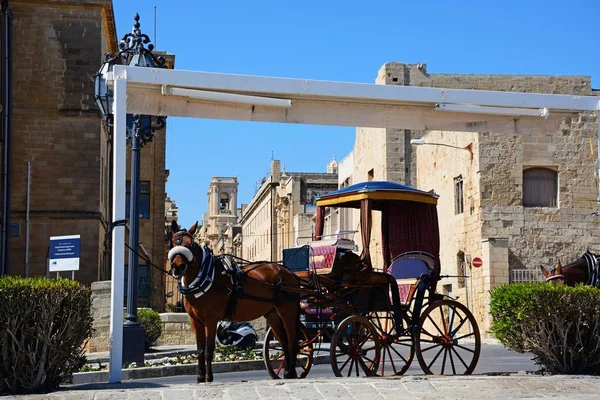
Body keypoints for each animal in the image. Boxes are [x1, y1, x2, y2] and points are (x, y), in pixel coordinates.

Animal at [168, 222, 300, 382]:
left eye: (190, 244)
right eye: (173, 242)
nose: (178, 267)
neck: (207, 277)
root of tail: (289, 273)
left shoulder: (211, 320)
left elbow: (209, 349)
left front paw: (209, 377)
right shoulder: (195, 321)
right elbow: (200, 349)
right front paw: (200, 377)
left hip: (287, 311)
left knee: (292, 340)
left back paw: (291, 372)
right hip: (272, 314)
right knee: (284, 341)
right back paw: (287, 372)